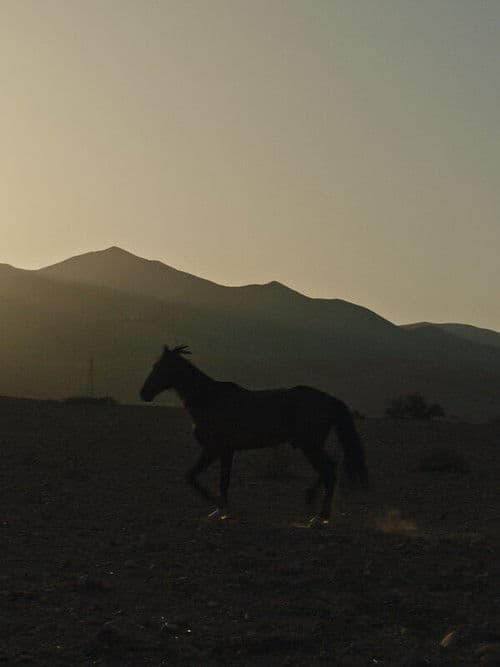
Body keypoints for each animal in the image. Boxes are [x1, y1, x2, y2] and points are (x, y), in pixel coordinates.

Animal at [140, 344, 368, 524]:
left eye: (158, 367)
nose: (143, 394)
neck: (209, 399)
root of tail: (329, 400)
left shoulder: (213, 449)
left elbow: (192, 475)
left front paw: (214, 503)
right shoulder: (226, 451)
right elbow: (223, 480)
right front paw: (221, 510)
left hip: (310, 446)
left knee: (329, 472)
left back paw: (321, 516)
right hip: (311, 445)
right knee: (330, 468)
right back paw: (313, 503)